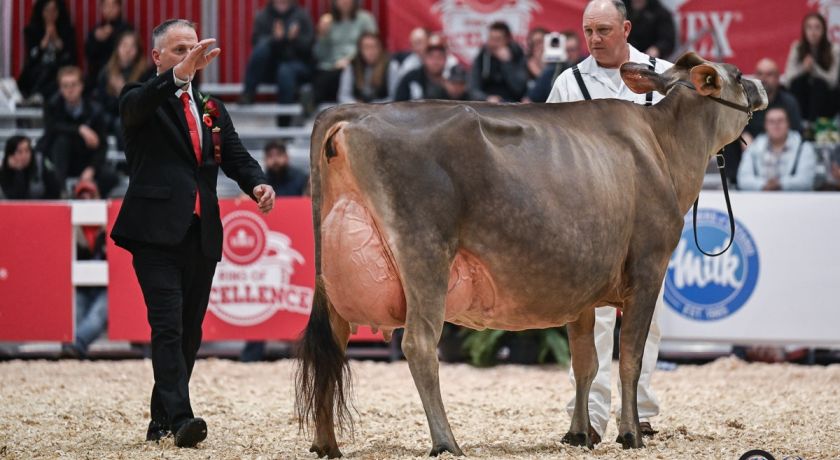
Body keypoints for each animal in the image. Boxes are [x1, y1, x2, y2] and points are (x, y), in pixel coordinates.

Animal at [296, 53, 768, 456]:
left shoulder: (582, 290)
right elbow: (630, 357)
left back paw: (326, 443)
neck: (662, 146)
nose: (763, 87)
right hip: (425, 253)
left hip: (334, 273)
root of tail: (351, 111)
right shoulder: (649, 268)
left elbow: (586, 362)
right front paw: (630, 434)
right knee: (419, 344)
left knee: (331, 345)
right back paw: (447, 442)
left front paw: (581, 433)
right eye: (739, 75)